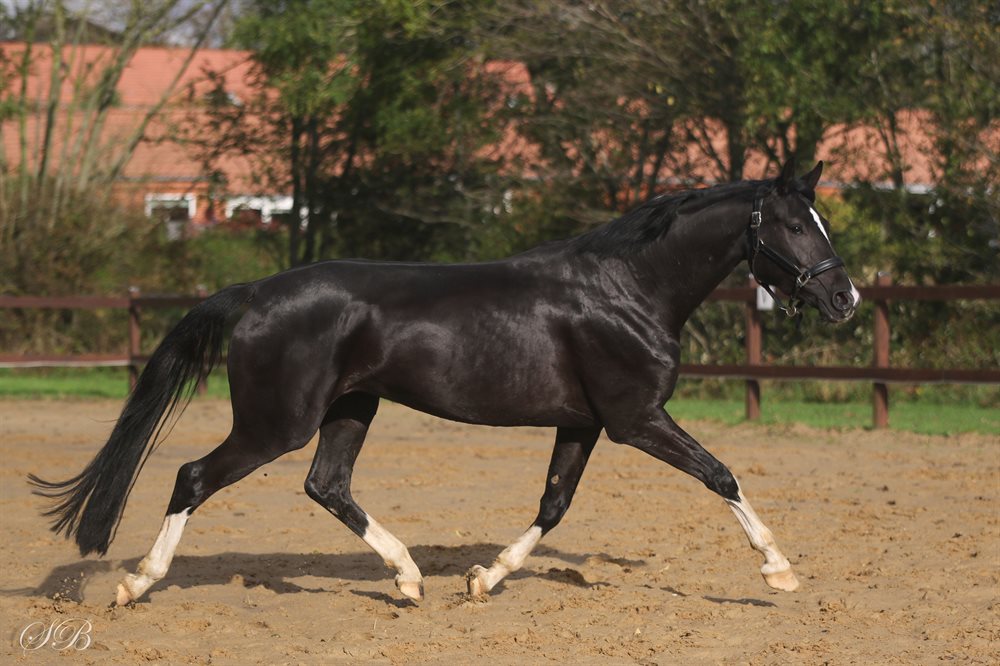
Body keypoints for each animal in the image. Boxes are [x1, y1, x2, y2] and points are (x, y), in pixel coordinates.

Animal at [31, 159, 860, 606]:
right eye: (794, 225)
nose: (845, 297)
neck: (628, 289)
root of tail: (256, 291)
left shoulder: (584, 422)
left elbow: (553, 505)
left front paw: (483, 579)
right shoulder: (636, 419)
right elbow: (722, 474)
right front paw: (779, 570)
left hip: (351, 408)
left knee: (327, 485)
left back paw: (408, 580)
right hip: (275, 422)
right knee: (194, 476)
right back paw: (136, 583)